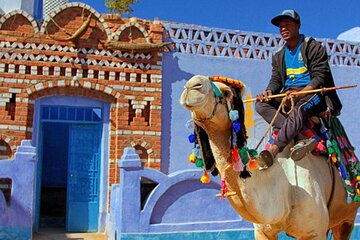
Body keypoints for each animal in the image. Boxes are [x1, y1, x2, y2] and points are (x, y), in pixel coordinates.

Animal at [180, 74, 360, 238]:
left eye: (226, 92)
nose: (191, 86)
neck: (286, 188)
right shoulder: (263, 230)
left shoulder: (315, 231)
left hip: (347, 217)